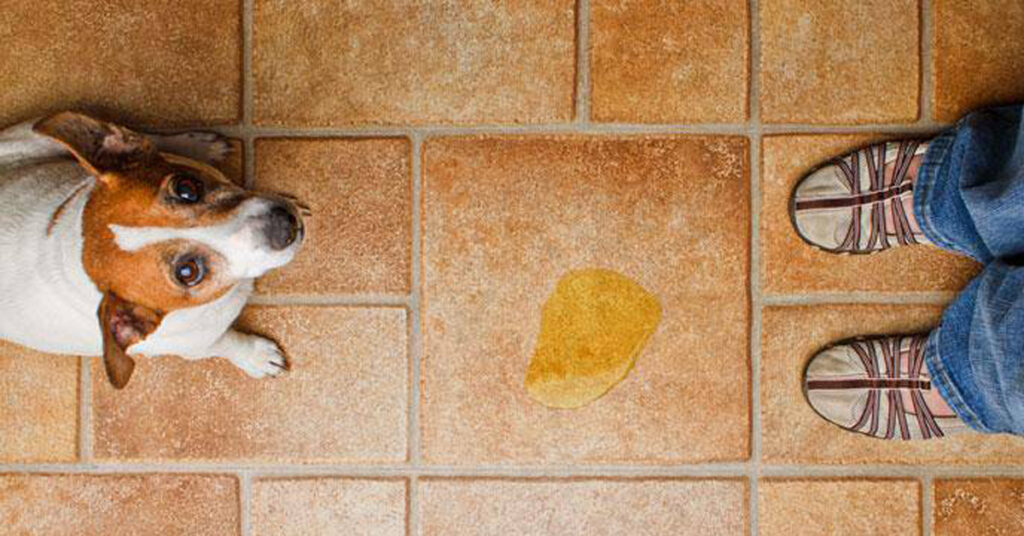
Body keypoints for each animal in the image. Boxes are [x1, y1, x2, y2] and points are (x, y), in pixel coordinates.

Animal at [0, 112, 303, 389]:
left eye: (186, 188)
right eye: (187, 272)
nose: (284, 223)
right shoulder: (197, 346)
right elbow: (229, 343)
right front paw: (257, 357)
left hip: (32, 137)